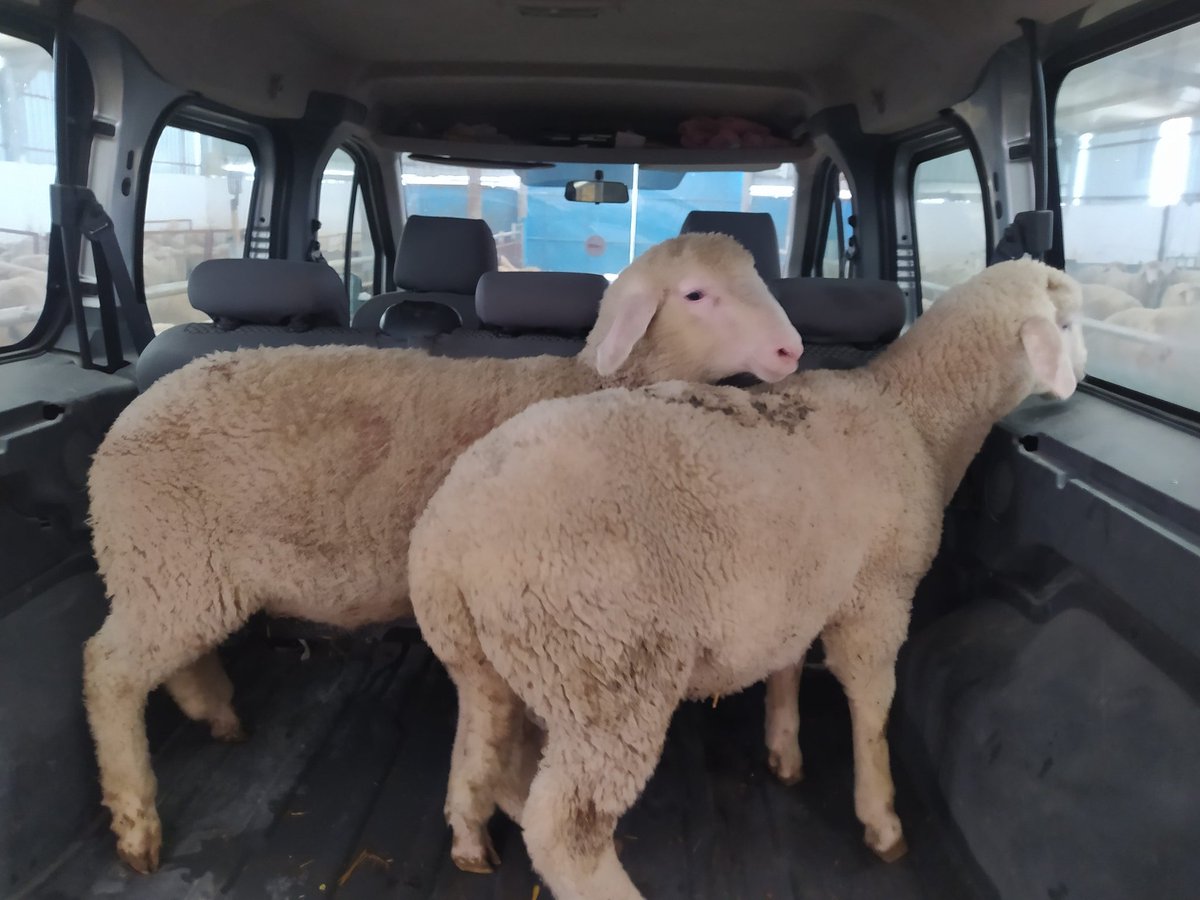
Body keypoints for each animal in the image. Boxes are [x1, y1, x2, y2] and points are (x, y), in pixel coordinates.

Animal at [82, 232, 805, 874]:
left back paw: (218, 713)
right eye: (696, 294)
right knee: (108, 671)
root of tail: (127, 422)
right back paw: (136, 823)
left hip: (170, 572)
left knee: (173, 659)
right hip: (167, 560)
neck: (586, 383)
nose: (791, 348)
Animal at [407, 259, 1086, 899]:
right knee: (566, 833)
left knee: (478, 746)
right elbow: (872, 705)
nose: (1081, 372)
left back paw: (471, 841)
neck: (912, 414)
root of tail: (448, 536)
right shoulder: (877, 596)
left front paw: (784, 750)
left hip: (484, 657)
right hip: (607, 671)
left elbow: (786, 665)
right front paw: (882, 819)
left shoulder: (797, 587)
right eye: (1069, 324)